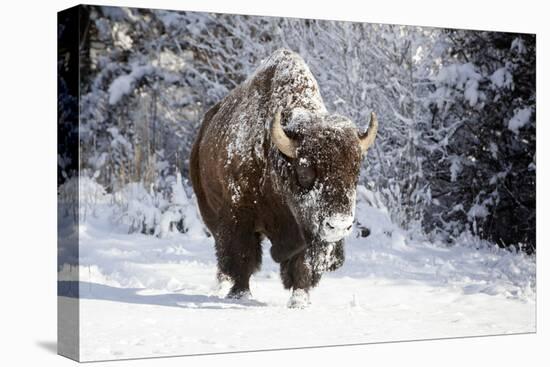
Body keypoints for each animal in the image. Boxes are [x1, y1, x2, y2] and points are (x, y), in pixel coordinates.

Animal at [191, 48, 380, 308]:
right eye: (304, 170)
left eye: (356, 170)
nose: (339, 225)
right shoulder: (238, 216)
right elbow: (242, 257)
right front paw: (240, 295)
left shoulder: (302, 230)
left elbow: (301, 265)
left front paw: (299, 301)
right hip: (209, 212)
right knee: (223, 254)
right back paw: (221, 287)